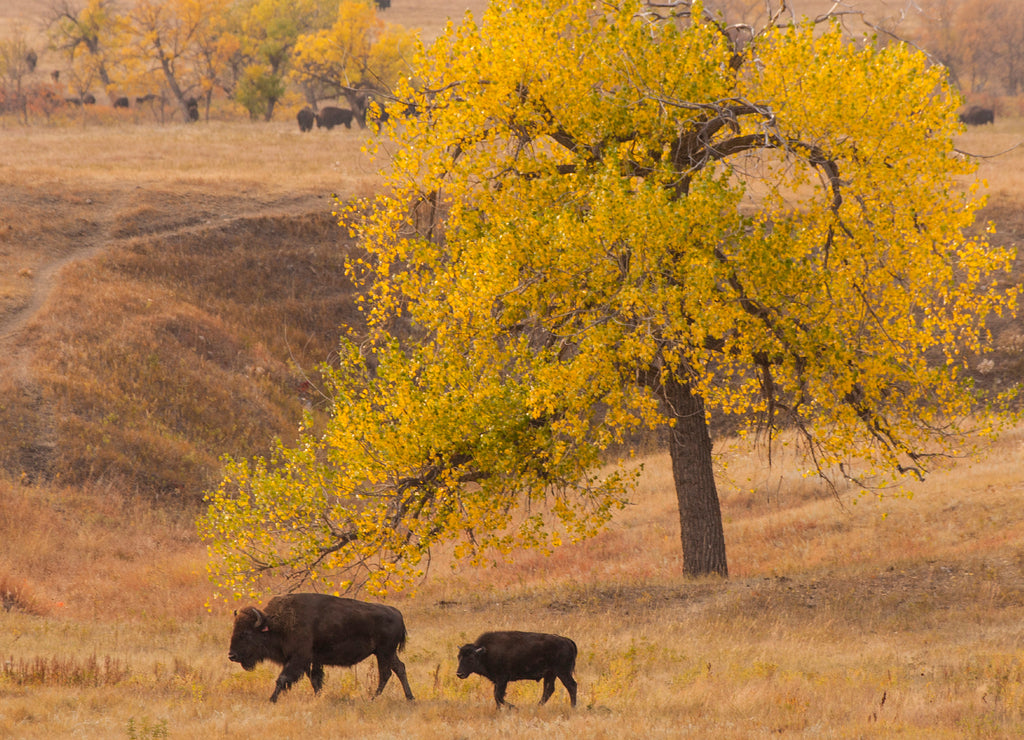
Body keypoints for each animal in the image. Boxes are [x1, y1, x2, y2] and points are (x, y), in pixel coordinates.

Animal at [228, 593, 415, 704]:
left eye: (246, 633)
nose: (232, 655)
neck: (277, 624)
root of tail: (397, 613)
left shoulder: (299, 659)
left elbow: (283, 678)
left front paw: (271, 699)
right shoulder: (312, 661)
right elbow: (315, 680)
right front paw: (319, 697)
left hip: (384, 653)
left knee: (386, 673)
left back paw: (373, 698)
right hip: (386, 653)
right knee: (399, 668)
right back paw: (409, 698)